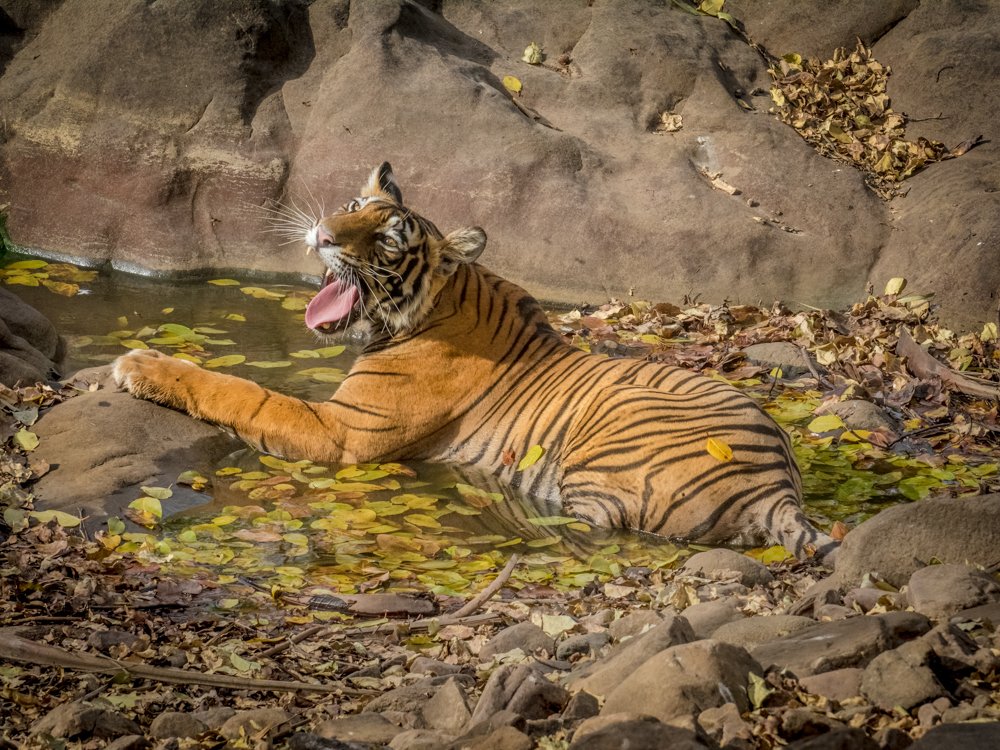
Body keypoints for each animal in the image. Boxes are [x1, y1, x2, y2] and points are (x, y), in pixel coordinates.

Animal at [113, 163, 837, 562]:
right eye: (352, 208)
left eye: (385, 238)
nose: (322, 235)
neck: (432, 305)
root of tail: (779, 487)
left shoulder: (341, 433)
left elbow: (242, 391)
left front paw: (141, 364)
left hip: (599, 459)